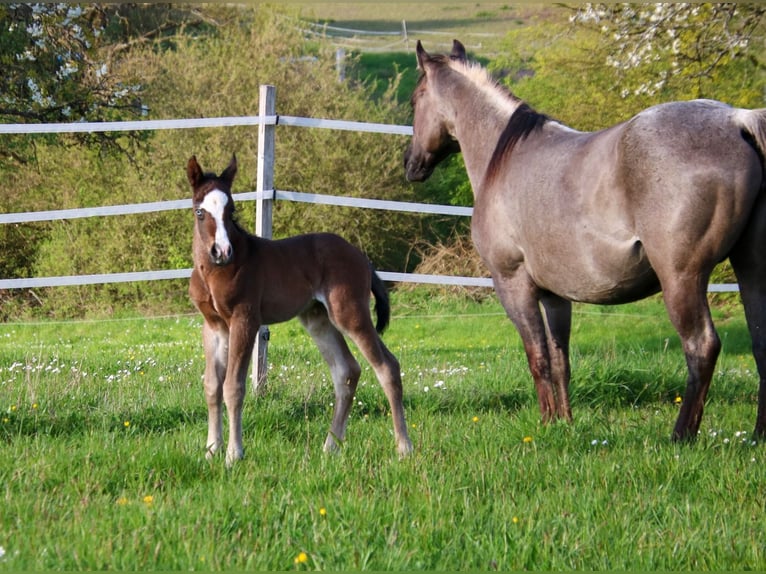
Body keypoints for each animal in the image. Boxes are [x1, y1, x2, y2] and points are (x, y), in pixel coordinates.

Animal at [187, 155, 413, 465]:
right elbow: (211, 386)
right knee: (346, 371)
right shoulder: (213, 326)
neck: (213, 273)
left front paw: (233, 454)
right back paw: (330, 446)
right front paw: (211, 450)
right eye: (200, 211)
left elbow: (233, 387)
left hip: (349, 313)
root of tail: (362, 257)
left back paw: (404, 447)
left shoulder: (245, 320)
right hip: (317, 318)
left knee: (387, 367)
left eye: (231, 211)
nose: (221, 251)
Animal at [404, 39, 766, 441]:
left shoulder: (513, 284)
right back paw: (757, 436)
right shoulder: (555, 296)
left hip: (682, 279)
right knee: (761, 343)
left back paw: (680, 436)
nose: (410, 164)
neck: (505, 158)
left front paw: (546, 423)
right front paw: (564, 423)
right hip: (751, 270)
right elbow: (560, 359)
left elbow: (538, 357)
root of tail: (736, 121)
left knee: (701, 346)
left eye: (415, 99)